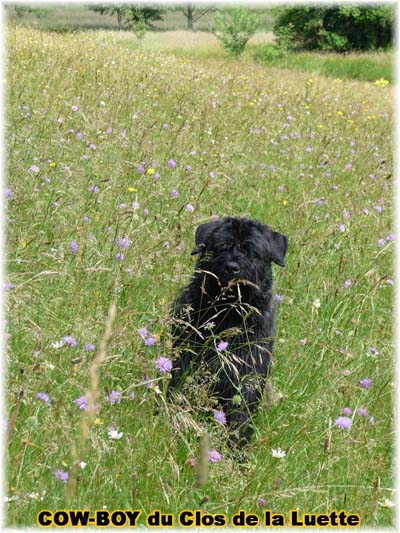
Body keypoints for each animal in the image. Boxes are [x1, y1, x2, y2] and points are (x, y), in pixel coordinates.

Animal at [169, 216, 288, 444]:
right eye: (221, 246)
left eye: (252, 251)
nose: (232, 267)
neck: (227, 314)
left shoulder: (246, 376)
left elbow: (240, 416)